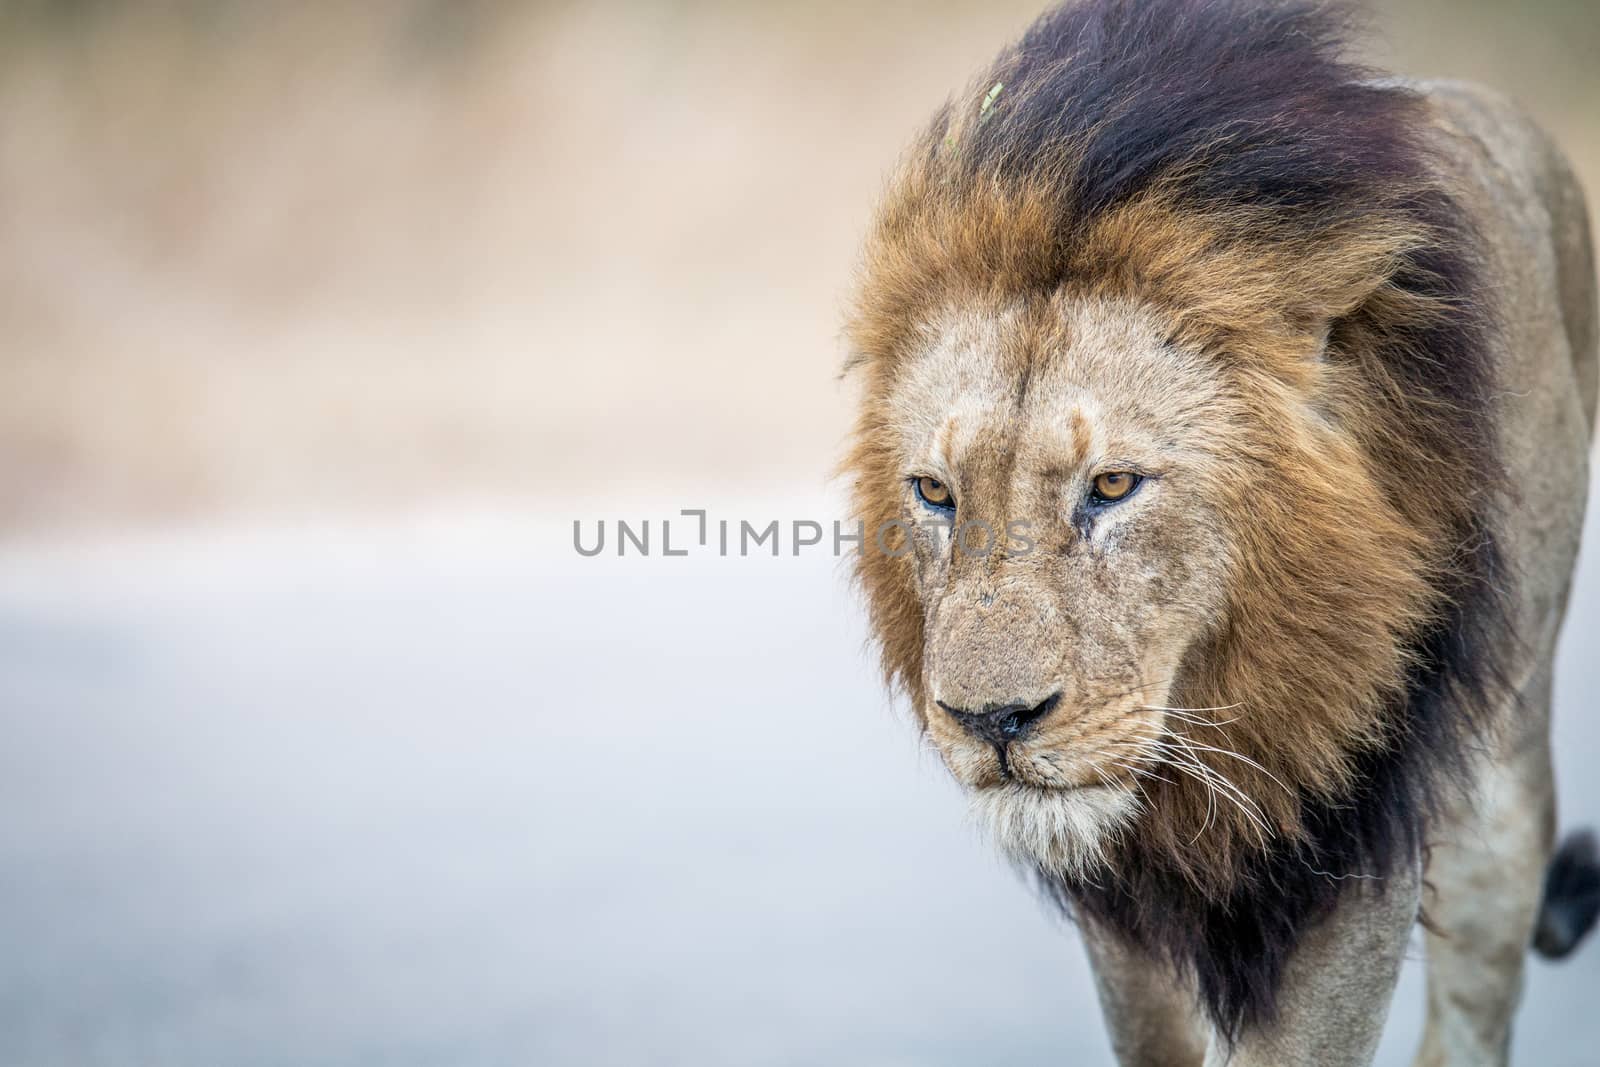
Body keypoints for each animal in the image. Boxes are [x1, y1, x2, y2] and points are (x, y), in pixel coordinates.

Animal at [838, 4, 1600, 1062]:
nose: (992, 722)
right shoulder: (1121, 889)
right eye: (937, 493)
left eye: (1113, 485)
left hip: (1506, 784)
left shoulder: (1351, 833)